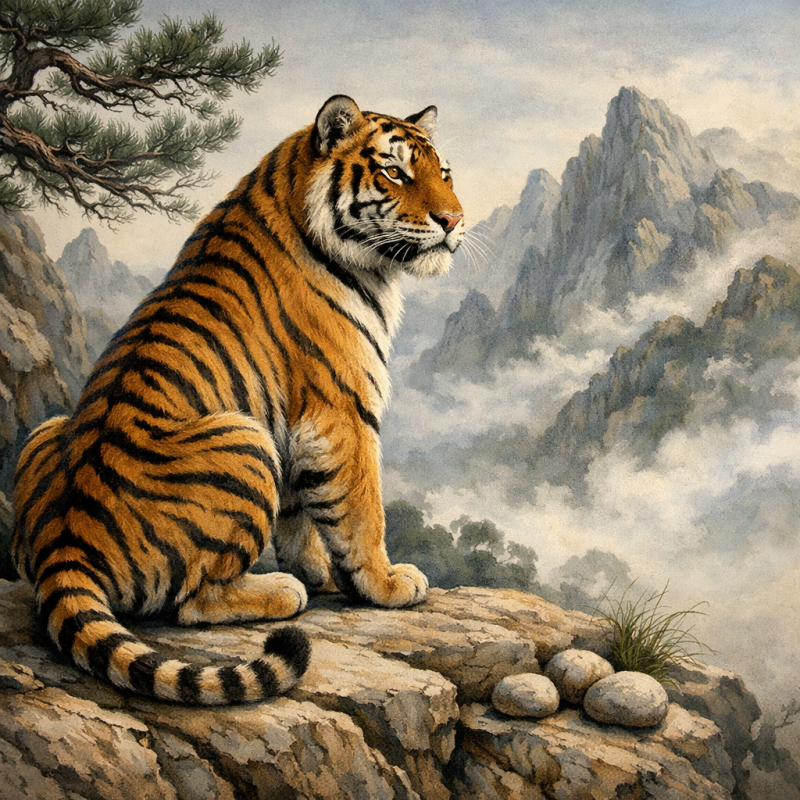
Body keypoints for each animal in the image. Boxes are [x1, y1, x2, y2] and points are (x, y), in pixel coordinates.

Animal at [10, 95, 464, 705]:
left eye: (444, 174)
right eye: (395, 172)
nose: (454, 220)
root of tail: (64, 544)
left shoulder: (297, 424)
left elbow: (302, 509)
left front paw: (320, 570)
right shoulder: (342, 409)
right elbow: (361, 509)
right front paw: (384, 583)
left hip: (47, 430)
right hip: (246, 439)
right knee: (191, 603)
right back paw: (281, 591)